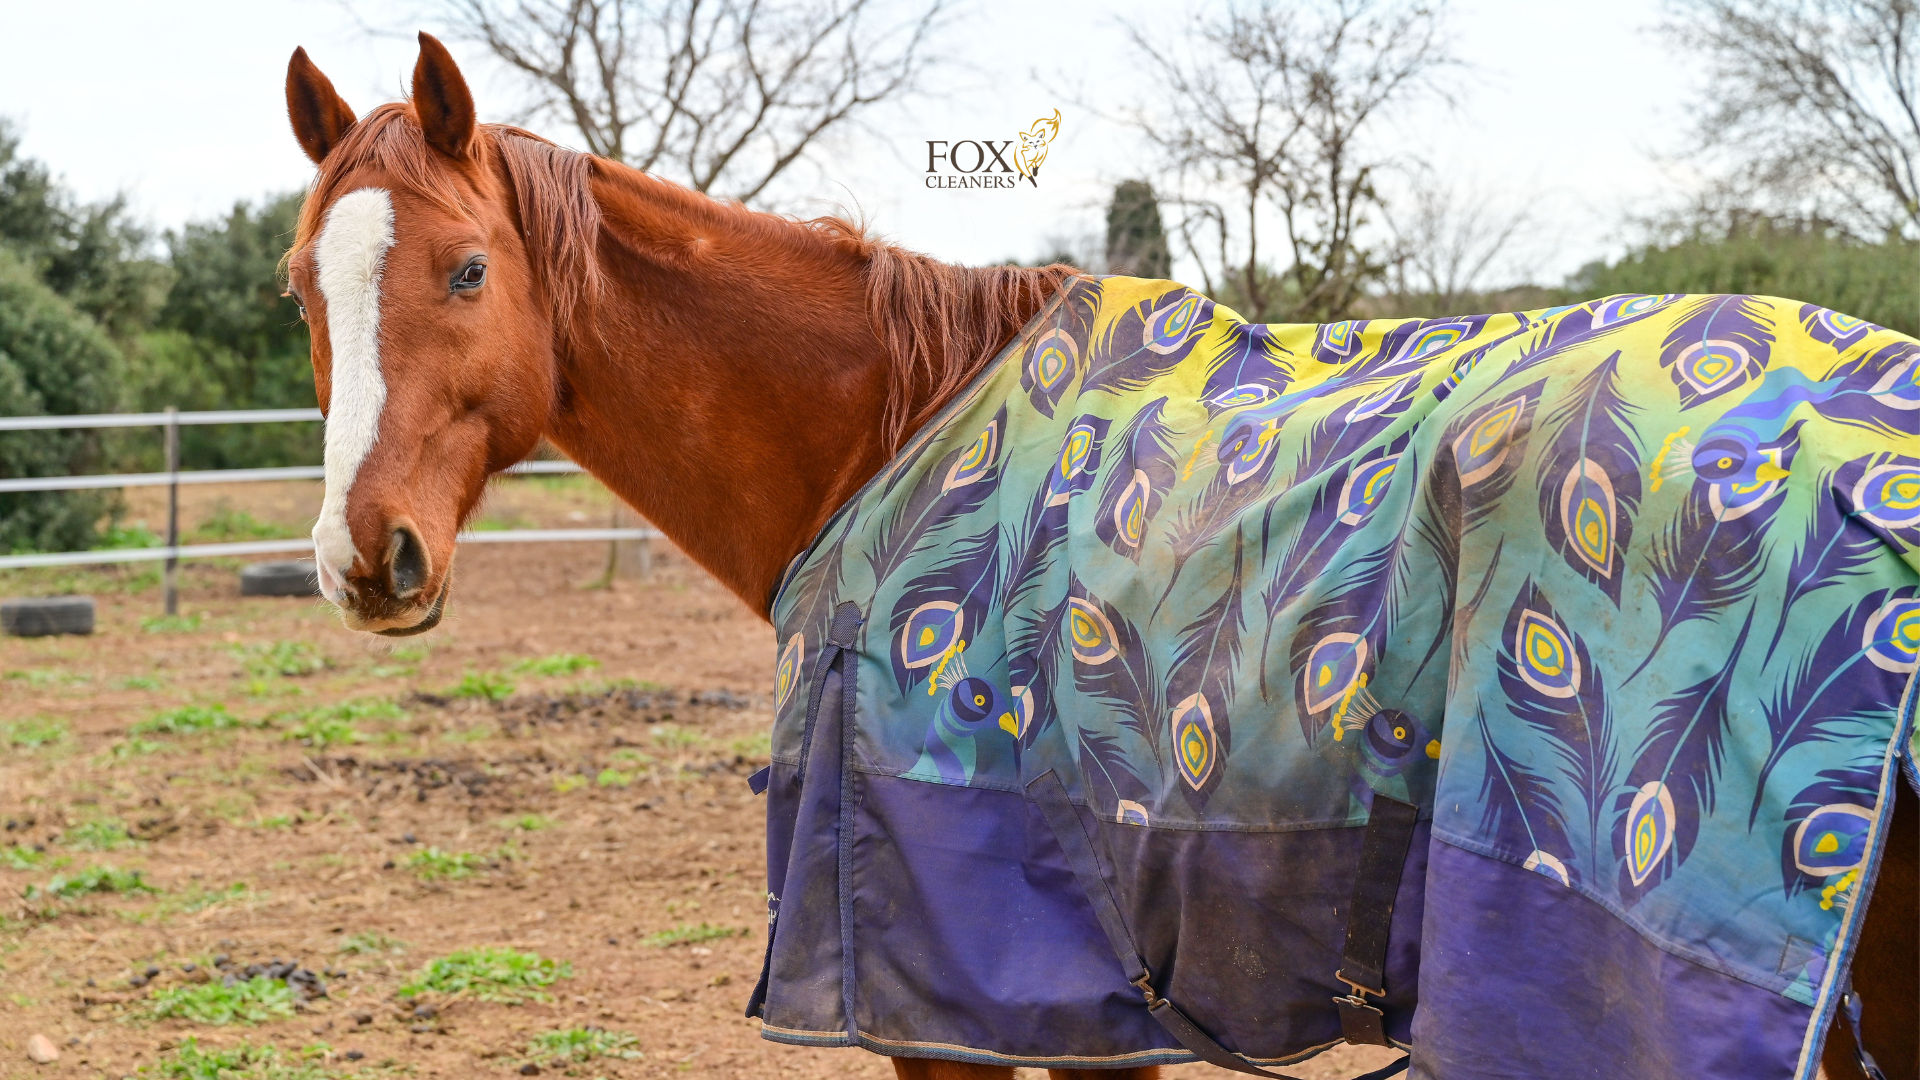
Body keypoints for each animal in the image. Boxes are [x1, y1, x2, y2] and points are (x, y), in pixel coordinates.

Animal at [282, 34, 1916, 1080]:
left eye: (467, 270)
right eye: (304, 284)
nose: (366, 555)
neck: (890, 432)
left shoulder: (975, 999)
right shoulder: (1078, 1005)